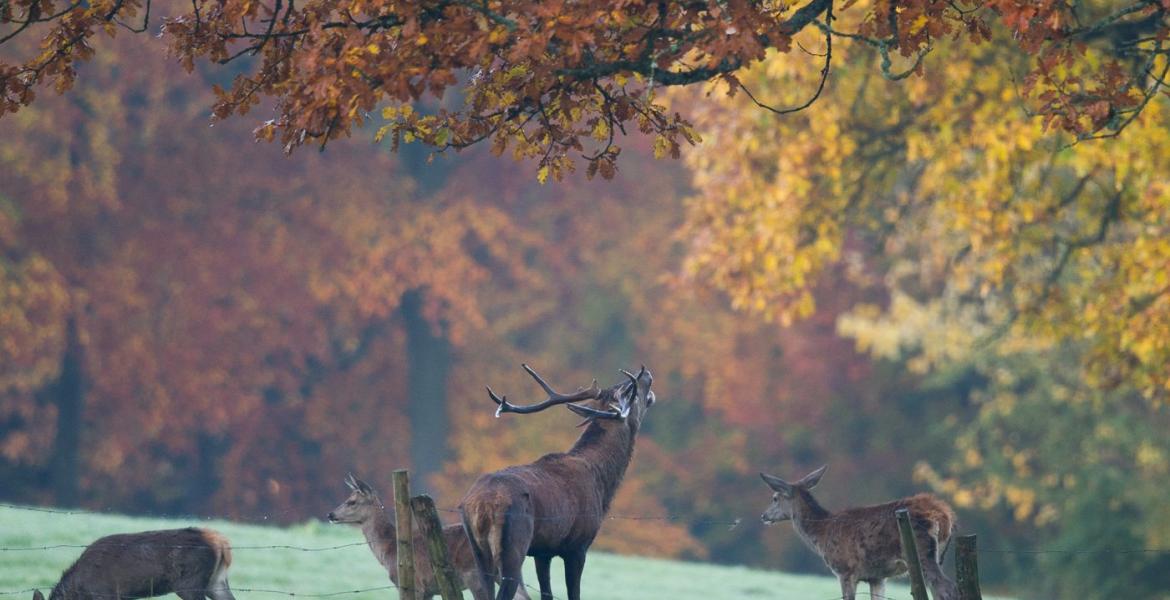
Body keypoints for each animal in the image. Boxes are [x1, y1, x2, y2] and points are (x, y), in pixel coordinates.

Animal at [327, 474, 530, 600]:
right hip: (509, 568)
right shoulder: (428, 591)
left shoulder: (413, 585)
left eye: (351, 501)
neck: (390, 550)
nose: (330, 514)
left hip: (475, 574)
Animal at [460, 364, 656, 600]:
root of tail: (481, 505)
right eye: (630, 392)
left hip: (478, 552)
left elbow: (547, 593)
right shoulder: (577, 546)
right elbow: (574, 594)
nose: (646, 374)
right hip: (513, 546)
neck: (601, 484)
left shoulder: (543, 551)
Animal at [759, 465, 958, 600]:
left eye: (774, 498)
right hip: (937, 555)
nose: (764, 516)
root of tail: (943, 514)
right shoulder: (877, 576)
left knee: (947, 588)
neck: (821, 533)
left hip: (922, 550)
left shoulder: (845, 570)